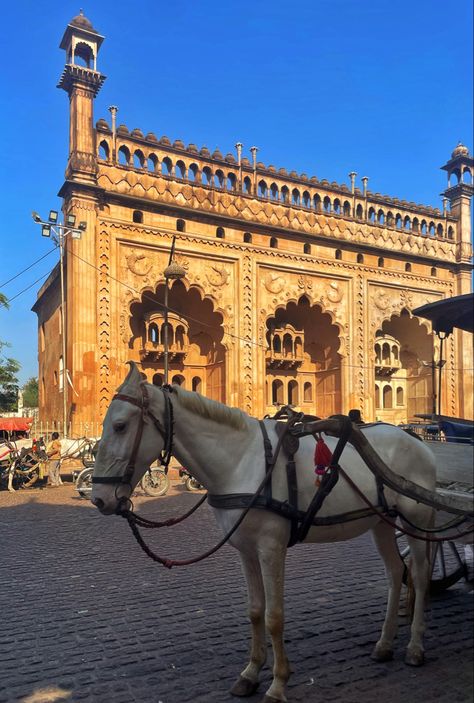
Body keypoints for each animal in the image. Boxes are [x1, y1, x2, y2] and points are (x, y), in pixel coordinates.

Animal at [91, 364, 436, 703]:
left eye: (120, 426)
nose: (99, 499)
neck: (242, 461)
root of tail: (418, 442)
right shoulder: (245, 548)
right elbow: (255, 611)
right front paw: (251, 673)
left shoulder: (272, 547)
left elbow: (274, 616)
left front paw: (278, 683)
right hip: (382, 521)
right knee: (395, 572)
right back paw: (385, 644)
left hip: (415, 519)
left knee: (419, 575)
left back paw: (415, 647)